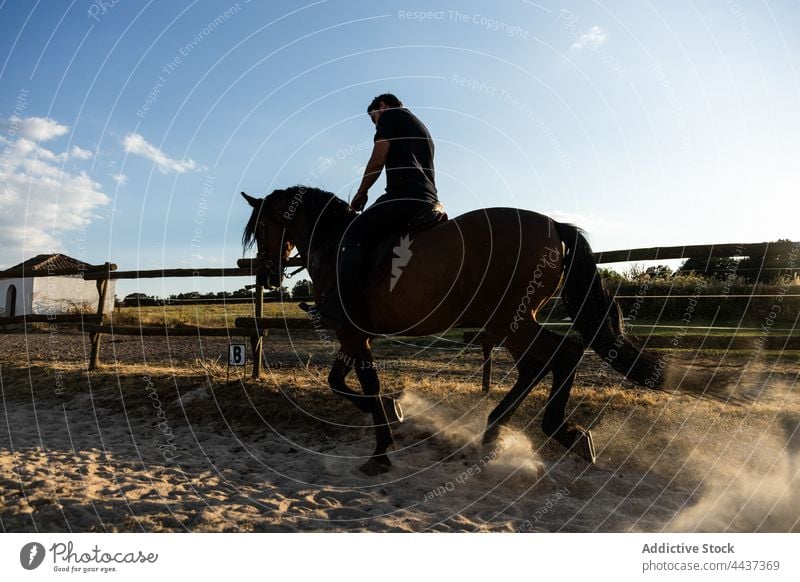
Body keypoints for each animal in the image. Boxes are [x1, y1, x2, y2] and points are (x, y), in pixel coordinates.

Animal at [242, 189, 720, 476]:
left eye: (261, 226)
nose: (264, 273)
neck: (335, 241)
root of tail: (556, 228)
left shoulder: (351, 333)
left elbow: (360, 385)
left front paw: (381, 452)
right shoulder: (354, 334)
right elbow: (340, 382)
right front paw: (395, 411)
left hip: (510, 318)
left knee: (561, 352)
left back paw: (559, 432)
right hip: (508, 320)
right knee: (537, 365)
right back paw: (496, 432)